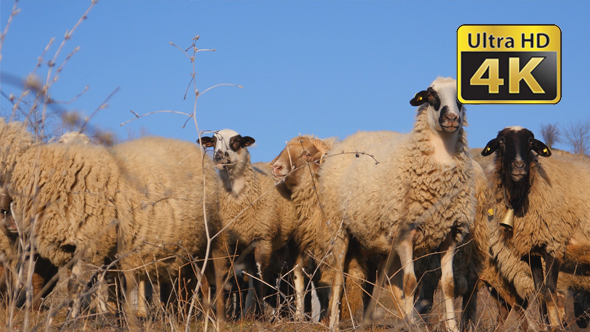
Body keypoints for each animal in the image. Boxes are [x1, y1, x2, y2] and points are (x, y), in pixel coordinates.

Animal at [8, 136, 227, 320]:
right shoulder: (72, 247)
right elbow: (78, 285)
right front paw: (80, 313)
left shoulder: (92, 243)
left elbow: (76, 285)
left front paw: (74, 318)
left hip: (207, 240)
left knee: (205, 280)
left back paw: (205, 316)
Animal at [199, 128, 300, 318]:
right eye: (213, 141)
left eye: (236, 141)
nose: (219, 156)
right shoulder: (229, 243)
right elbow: (230, 280)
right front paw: (227, 316)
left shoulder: (262, 240)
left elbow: (259, 281)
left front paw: (260, 317)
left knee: (290, 278)